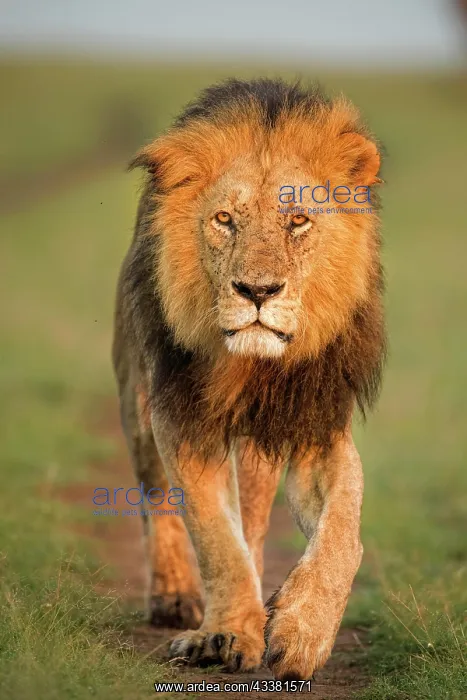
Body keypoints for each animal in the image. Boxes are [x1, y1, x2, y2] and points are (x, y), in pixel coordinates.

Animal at [112, 78, 386, 680]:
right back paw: (173, 596)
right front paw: (226, 635)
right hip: (135, 396)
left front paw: (300, 631)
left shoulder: (315, 424)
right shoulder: (181, 417)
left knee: (256, 520)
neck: (253, 366)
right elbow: (215, 535)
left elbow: (343, 530)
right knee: (155, 496)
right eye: (224, 220)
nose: (257, 292)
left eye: (298, 221)